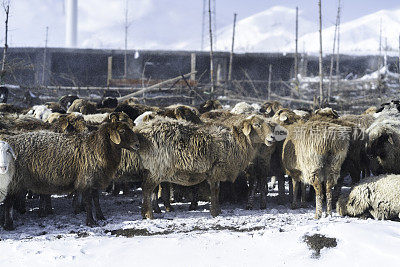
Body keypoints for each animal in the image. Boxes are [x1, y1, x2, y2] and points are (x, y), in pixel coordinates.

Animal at [1, 122, 139, 230]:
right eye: (121, 131)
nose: (137, 144)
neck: (97, 149)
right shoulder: (86, 181)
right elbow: (88, 203)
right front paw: (91, 222)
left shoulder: (94, 181)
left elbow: (96, 200)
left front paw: (101, 217)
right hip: (14, 181)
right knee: (8, 203)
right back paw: (9, 225)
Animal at [133, 115, 280, 220]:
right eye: (257, 124)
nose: (272, 138)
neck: (235, 142)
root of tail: (142, 131)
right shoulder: (216, 170)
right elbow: (215, 191)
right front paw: (215, 212)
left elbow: (217, 190)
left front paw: (218, 211)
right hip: (157, 167)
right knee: (147, 189)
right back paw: (149, 215)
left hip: (151, 169)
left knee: (146, 188)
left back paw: (144, 213)